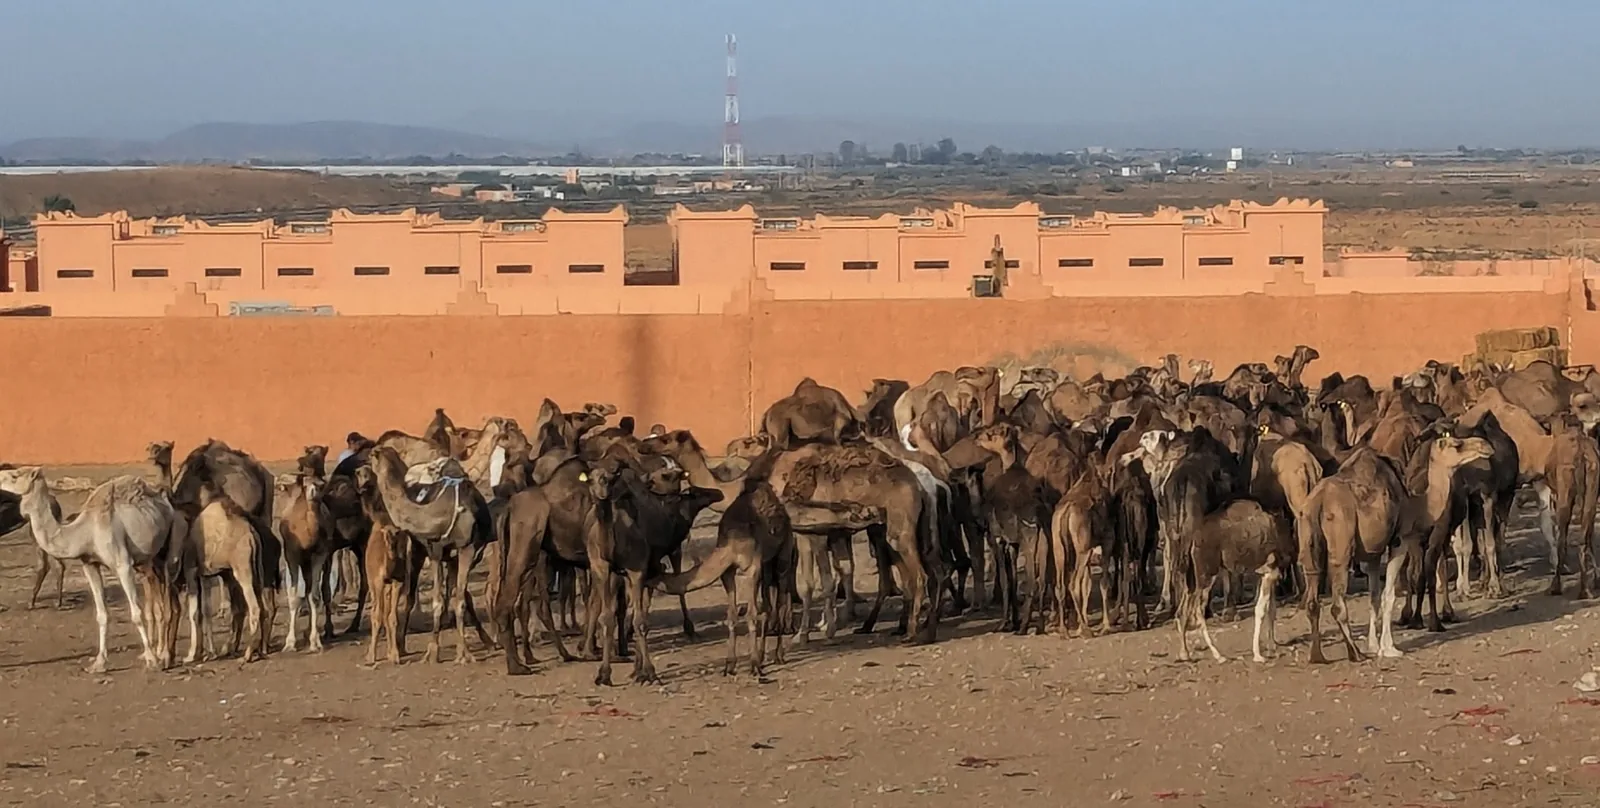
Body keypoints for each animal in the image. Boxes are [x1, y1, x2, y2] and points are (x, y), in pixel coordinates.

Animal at [0, 467, 184, 673]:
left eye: (15, 476)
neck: (85, 531)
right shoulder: (89, 565)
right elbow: (102, 615)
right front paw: (99, 663)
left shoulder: (123, 564)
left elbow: (136, 613)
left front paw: (152, 661)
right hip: (150, 559)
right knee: (158, 599)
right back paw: (158, 653)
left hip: (171, 544)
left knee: (168, 599)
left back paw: (164, 656)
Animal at [369, 446, 495, 664]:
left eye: (372, 456)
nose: (361, 468)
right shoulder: (435, 549)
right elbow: (439, 602)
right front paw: (434, 651)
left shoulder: (467, 549)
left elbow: (458, 601)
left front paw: (463, 653)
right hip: (418, 552)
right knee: (410, 597)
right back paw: (400, 646)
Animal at [1174, 499, 1292, 663]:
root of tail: (1191, 539)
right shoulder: (1270, 571)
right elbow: (1260, 610)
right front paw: (1258, 655)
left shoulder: (1269, 574)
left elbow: (1271, 610)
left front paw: (1272, 647)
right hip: (1207, 574)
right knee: (1198, 610)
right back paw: (1218, 655)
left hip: (1192, 576)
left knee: (1182, 609)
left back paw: (1185, 653)